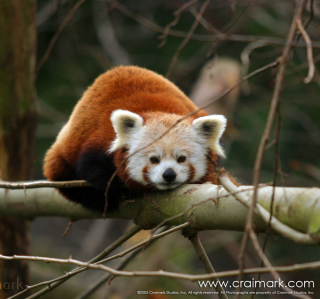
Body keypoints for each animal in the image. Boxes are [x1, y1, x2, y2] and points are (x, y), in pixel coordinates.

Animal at [43, 66, 228, 213]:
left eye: (181, 158)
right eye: (153, 159)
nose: (169, 174)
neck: (157, 110)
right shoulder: (99, 142)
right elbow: (92, 169)